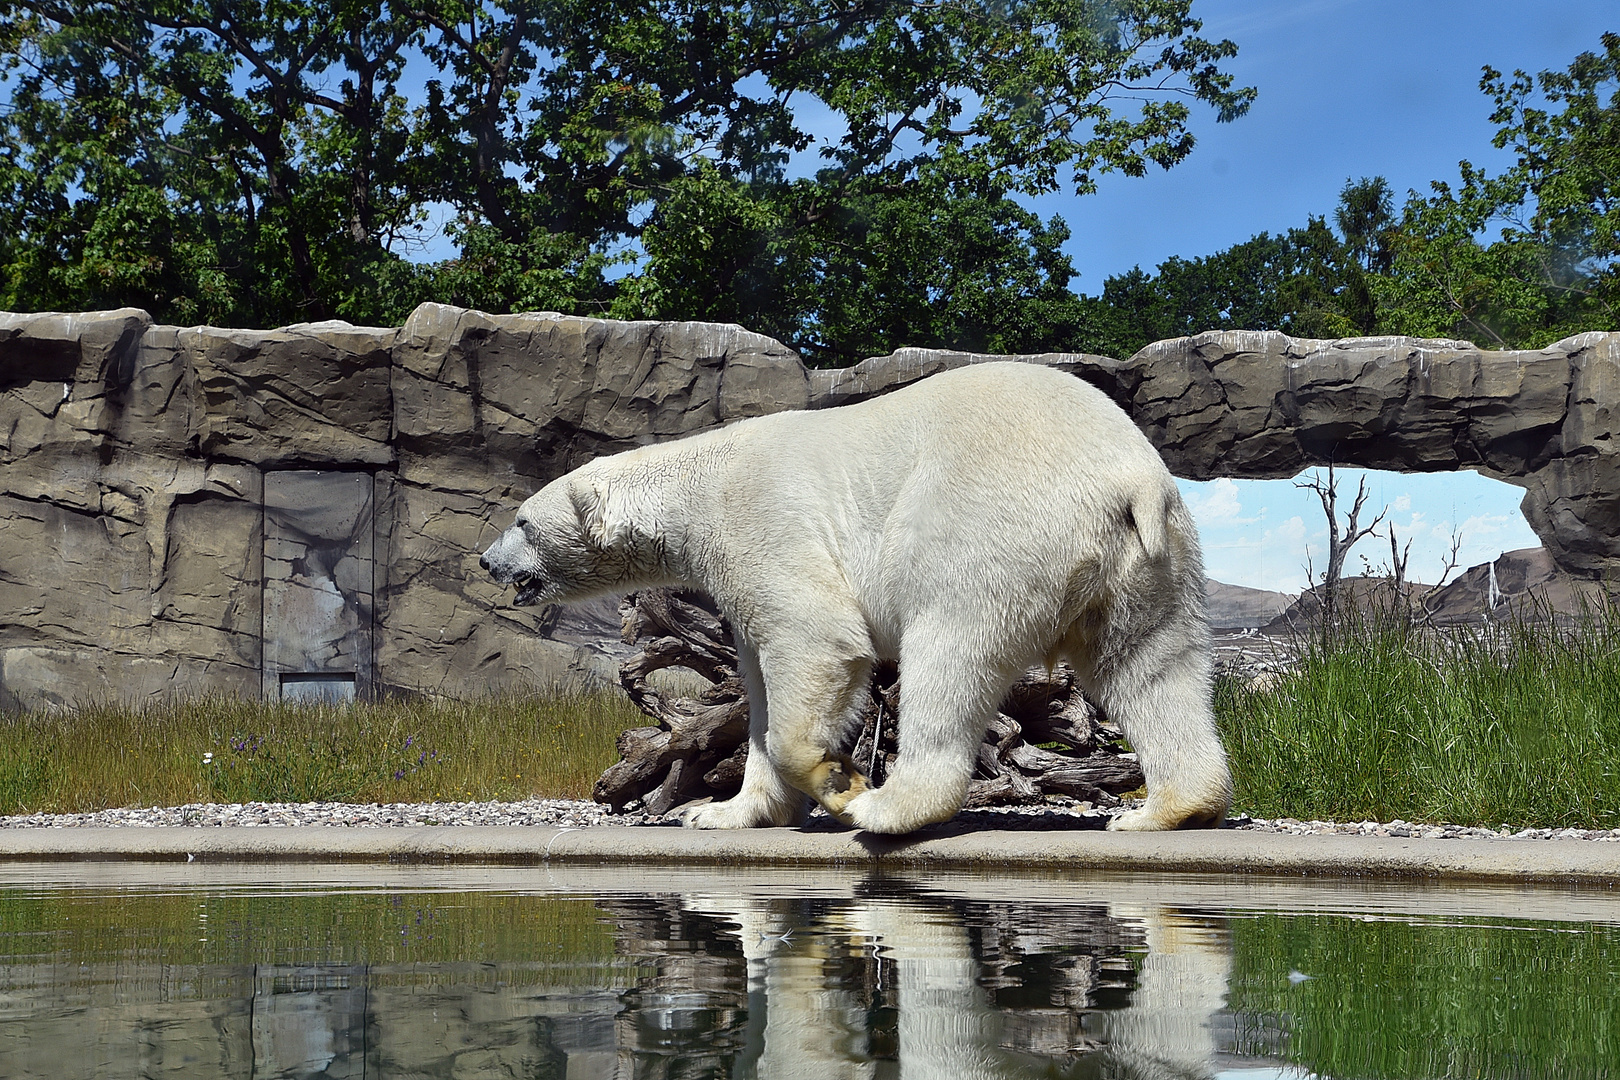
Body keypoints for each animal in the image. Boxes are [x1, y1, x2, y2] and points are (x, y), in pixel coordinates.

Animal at [476, 362, 1224, 835]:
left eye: (522, 520)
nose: (486, 559)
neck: (696, 483)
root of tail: (1128, 477)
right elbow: (757, 684)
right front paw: (719, 811)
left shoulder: (762, 522)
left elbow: (817, 641)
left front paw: (837, 780)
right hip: (1150, 561)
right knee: (1150, 667)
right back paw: (1165, 809)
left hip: (994, 527)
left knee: (950, 652)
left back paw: (888, 808)